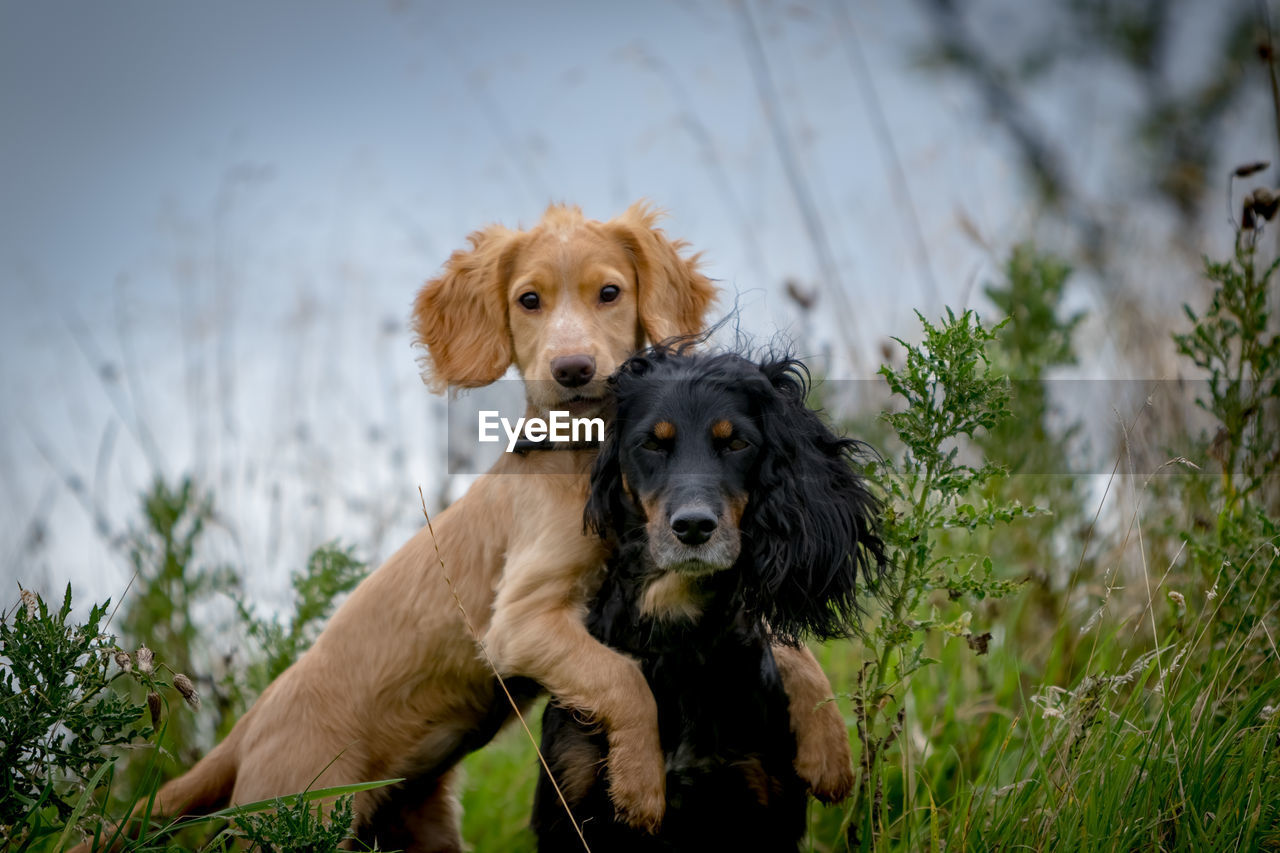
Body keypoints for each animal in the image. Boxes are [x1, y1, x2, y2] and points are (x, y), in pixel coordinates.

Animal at [535, 343, 885, 845]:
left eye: (737, 443)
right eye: (651, 443)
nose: (694, 527)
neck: (674, 629)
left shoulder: (757, 794)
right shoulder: (570, 802)